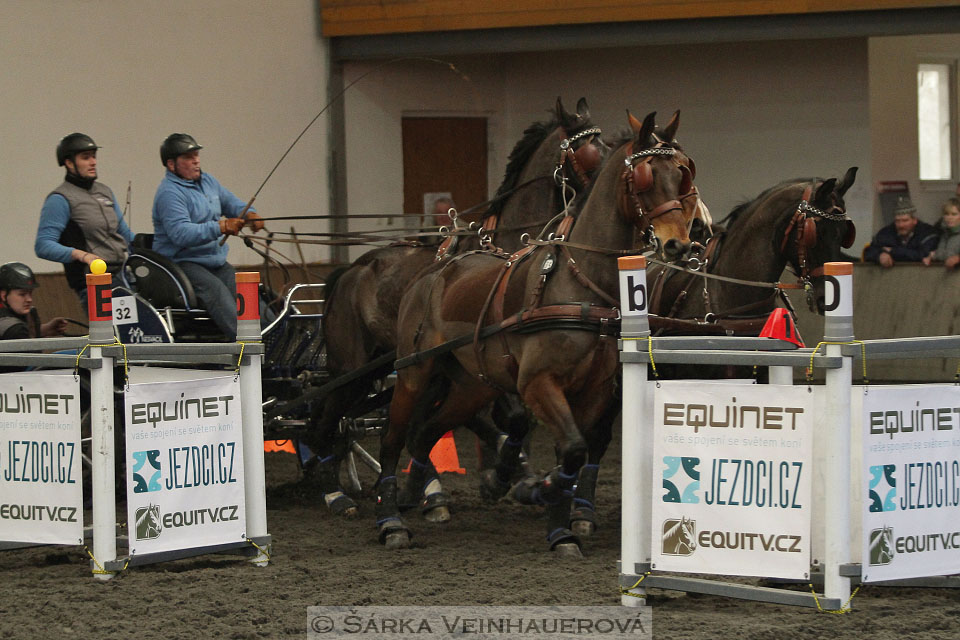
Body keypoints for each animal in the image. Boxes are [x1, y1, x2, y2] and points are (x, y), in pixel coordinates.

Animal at [298, 101, 608, 520]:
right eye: (590, 151)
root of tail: (351, 270)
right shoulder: (488, 358)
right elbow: (509, 419)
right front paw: (503, 477)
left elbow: (494, 422)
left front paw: (511, 476)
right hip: (352, 369)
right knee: (327, 422)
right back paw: (337, 494)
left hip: (384, 366)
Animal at [376, 111, 696, 556]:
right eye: (646, 176)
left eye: (681, 173)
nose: (679, 244)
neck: (578, 284)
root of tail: (434, 270)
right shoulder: (536, 382)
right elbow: (570, 447)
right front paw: (537, 494)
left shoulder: (594, 391)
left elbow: (573, 454)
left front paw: (557, 521)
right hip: (413, 374)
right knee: (393, 438)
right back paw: (391, 520)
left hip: (471, 385)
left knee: (424, 434)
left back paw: (417, 497)